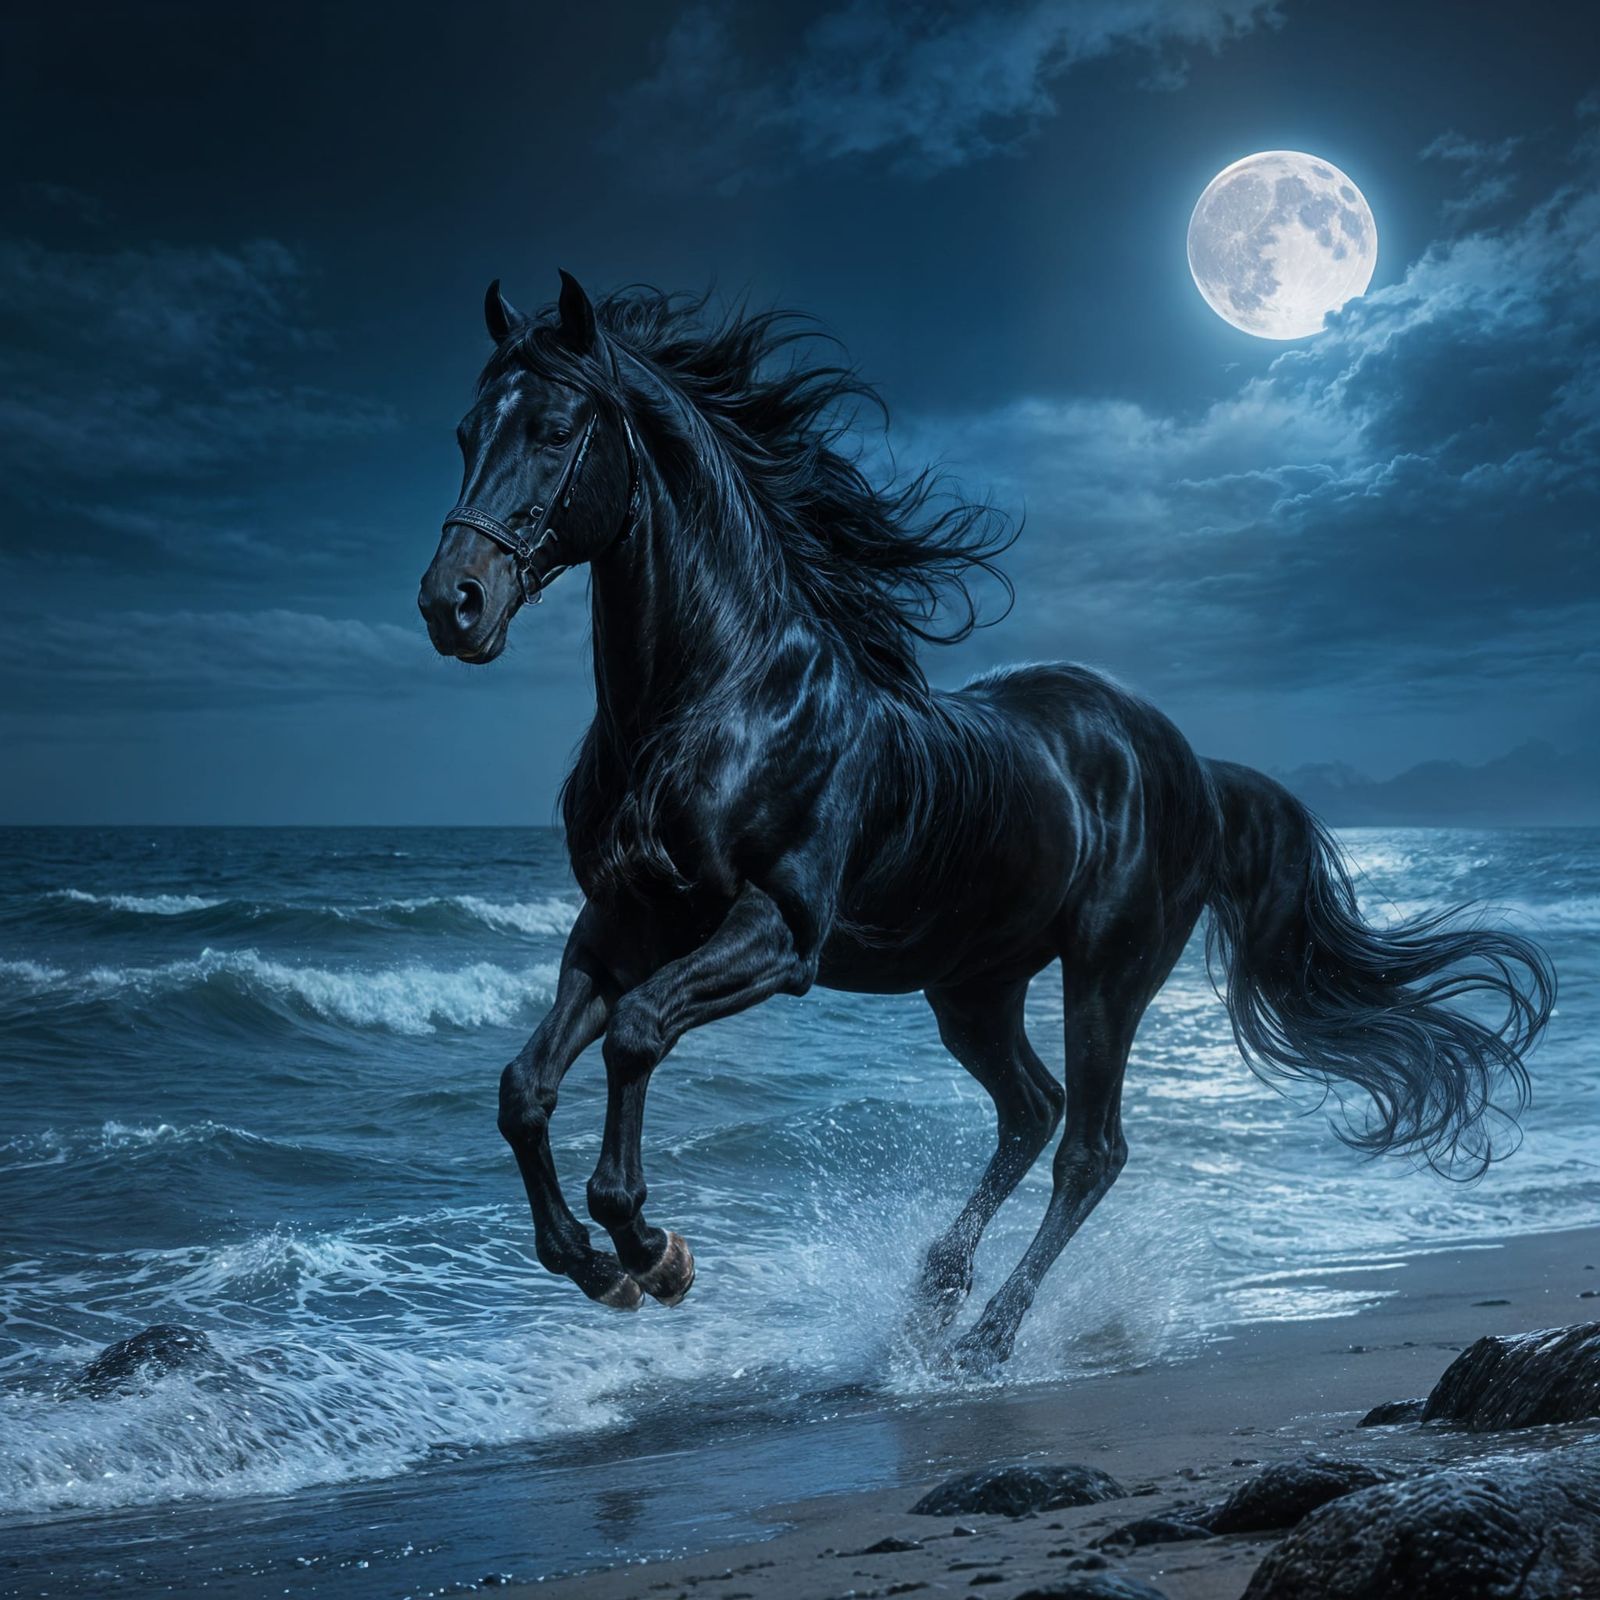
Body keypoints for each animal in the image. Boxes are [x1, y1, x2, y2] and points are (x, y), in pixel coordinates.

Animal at [418, 271, 1556, 1367]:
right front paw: (590, 1264)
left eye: (555, 429)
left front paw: (653, 1251)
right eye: (467, 433)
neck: (721, 698)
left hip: (1106, 974)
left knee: (1088, 1145)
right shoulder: (620, 924)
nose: (452, 604)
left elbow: (638, 1034)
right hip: (971, 986)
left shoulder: (777, 932)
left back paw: (984, 1340)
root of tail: (1195, 769)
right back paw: (933, 1292)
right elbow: (524, 1085)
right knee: (1030, 1110)